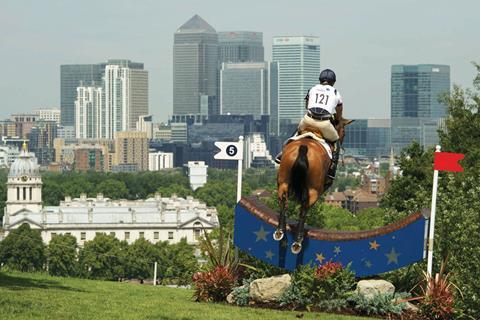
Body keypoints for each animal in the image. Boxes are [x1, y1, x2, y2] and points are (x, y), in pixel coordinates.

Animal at [274, 118, 352, 255]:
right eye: (343, 132)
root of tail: (304, 149)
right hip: (314, 191)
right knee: (304, 209)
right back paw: (298, 241)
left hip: (283, 182)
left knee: (283, 202)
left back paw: (280, 232)